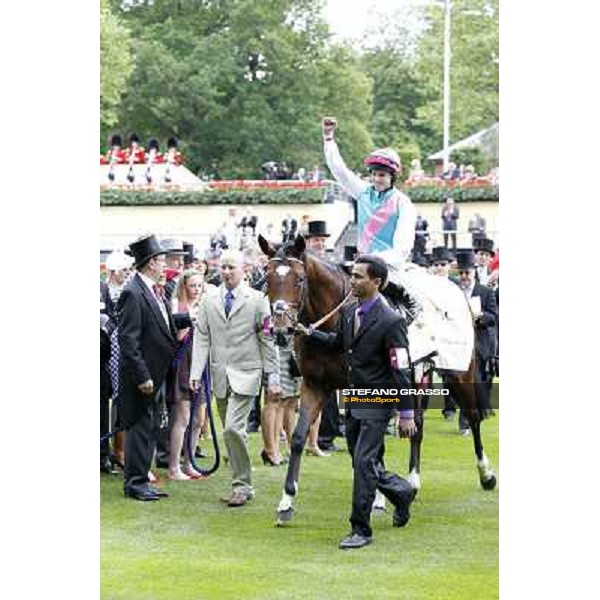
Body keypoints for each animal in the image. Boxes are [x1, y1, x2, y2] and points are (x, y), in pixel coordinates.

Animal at [258, 234, 496, 524]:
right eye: (268, 278)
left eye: (300, 279)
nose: (281, 330)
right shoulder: (316, 385)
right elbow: (299, 437)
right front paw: (286, 502)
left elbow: (370, 443)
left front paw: (378, 498)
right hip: (419, 374)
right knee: (417, 425)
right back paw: (413, 481)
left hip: (460, 371)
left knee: (472, 417)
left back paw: (486, 475)